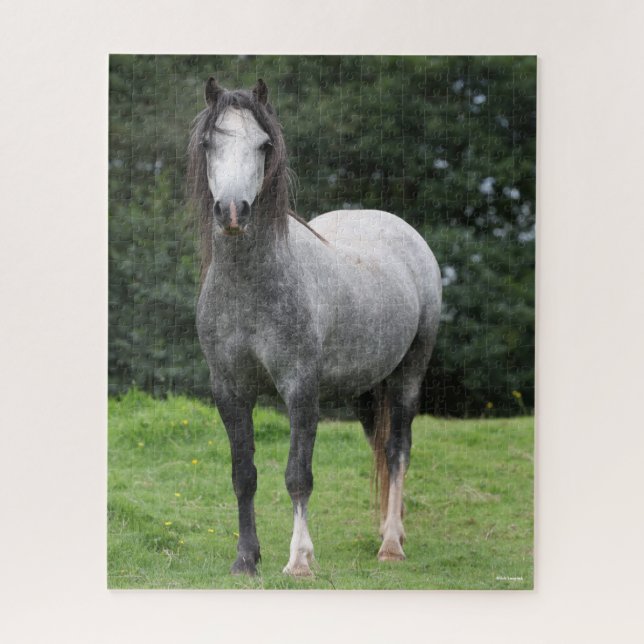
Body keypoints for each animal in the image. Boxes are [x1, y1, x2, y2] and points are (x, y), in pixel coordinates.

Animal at [188, 77, 442, 577]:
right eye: (209, 143)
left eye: (263, 144)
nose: (232, 212)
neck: (251, 288)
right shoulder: (229, 390)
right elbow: (243, 475)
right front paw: (246, 559)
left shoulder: (300, 388)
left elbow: (297, 476)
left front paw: (300, 560)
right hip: (367, 388)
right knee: (379, 447)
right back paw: (392, 531)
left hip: (408, 375)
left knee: (397, 450)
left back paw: (390, 544)